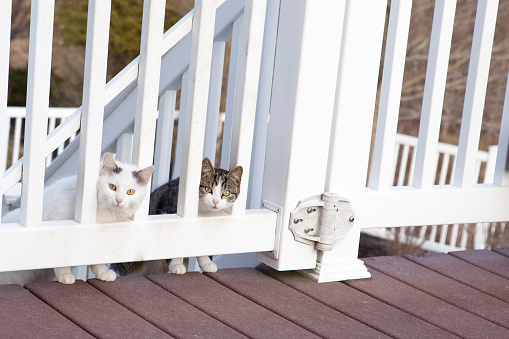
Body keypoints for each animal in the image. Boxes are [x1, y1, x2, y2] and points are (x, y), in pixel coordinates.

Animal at [0, 155, 153, 286]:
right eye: (112, 187)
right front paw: (65, 275)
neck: (104, 214)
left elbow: (97, 257)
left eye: (130, 192)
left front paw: (103, 273)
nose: (119, 200)